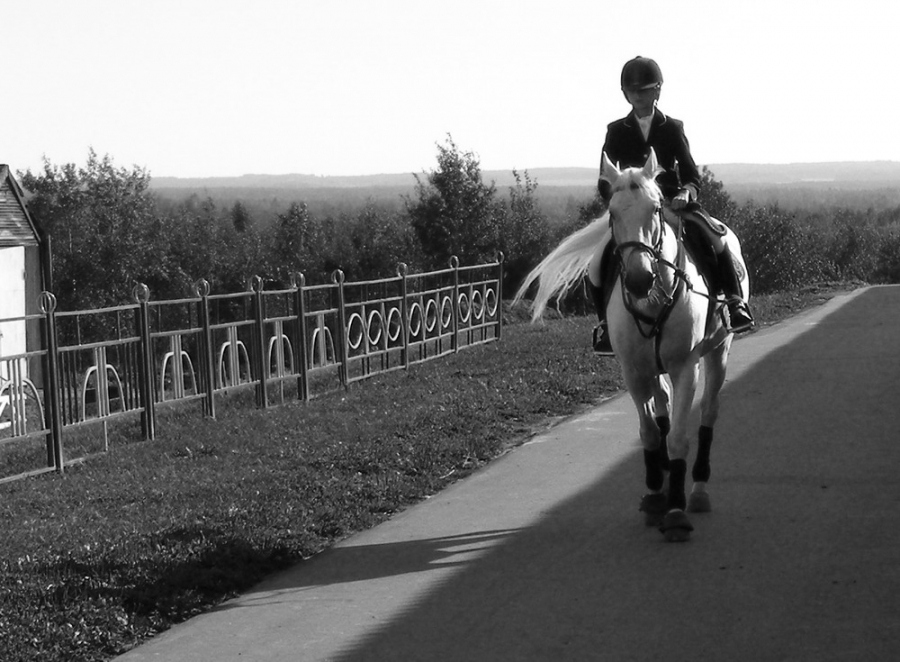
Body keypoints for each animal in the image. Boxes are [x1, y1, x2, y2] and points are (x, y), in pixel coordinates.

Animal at [512, 152, 744, 544]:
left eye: (656, 208)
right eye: (613, 212)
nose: (638, 279)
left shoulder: (685, 367)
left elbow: (679, 436)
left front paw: (676, 511)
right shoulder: (634, 371)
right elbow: (650, 431)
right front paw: (655, 495)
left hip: (718, 352)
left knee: (708, 414)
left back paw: (697, 490)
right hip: (655, 368)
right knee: (663, 412)